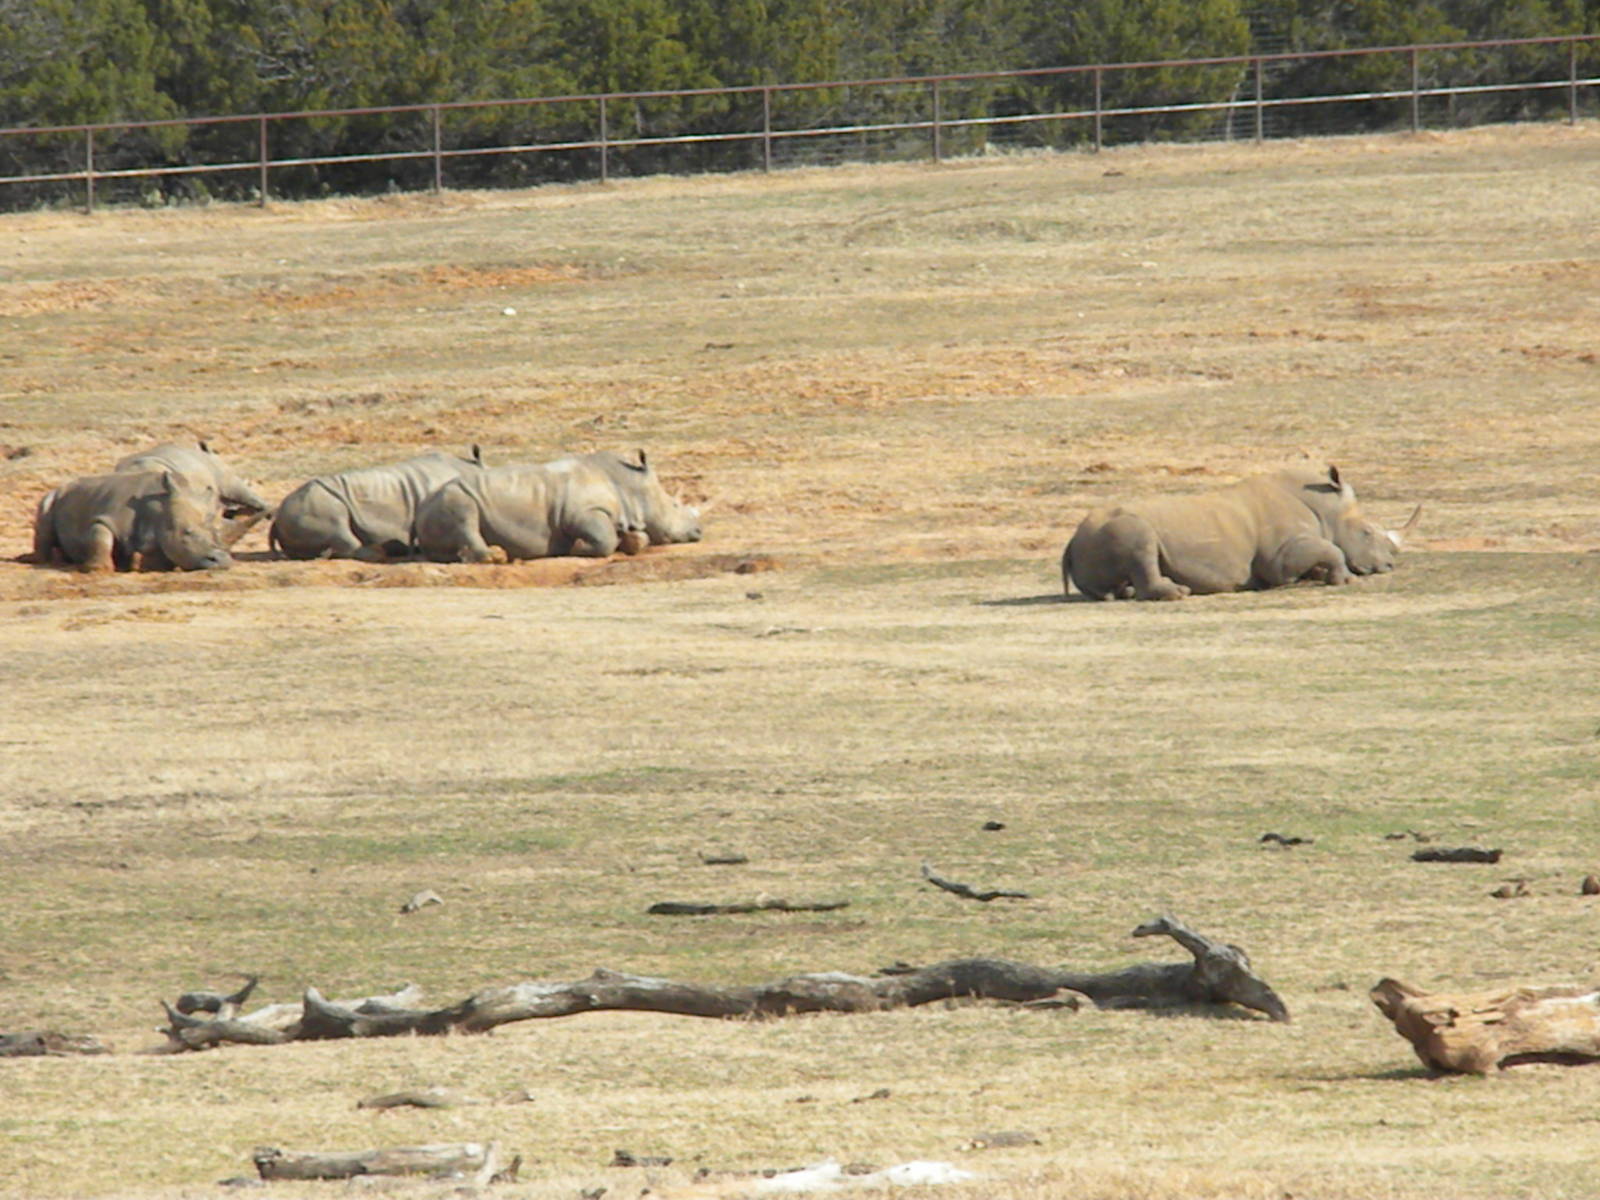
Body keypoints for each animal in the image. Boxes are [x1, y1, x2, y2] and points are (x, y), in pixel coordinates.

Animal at [32, 469, 233, 572]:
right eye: (187, 533)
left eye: (216, 533)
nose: (222, 560)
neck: (160, 509)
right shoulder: (107, 516)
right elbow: (100, 534)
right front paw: (98, 569)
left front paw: (136, 565)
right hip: (55, 495)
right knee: (45, 515)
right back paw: (44, 562)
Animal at [414, 450, 701, 563]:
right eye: (676, 505)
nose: (699, 531)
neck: (627, 483)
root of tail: (419, 512)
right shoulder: (581, 513)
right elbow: (604, 539)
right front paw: (579, 548)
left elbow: (638, 537)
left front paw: (631, 542)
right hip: (451, 496)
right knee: (465, 515)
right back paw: (497, 557)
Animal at [1063, 463, 1419, 601]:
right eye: (1367, 532)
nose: (1389, 565)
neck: (1326, 508)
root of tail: (1071, 540)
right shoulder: (1281, 555)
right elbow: (1330, 550)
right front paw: (1345, 580)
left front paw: (1319, 576)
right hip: (1120, 526)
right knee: (1141, 541)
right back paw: (1178, 593)